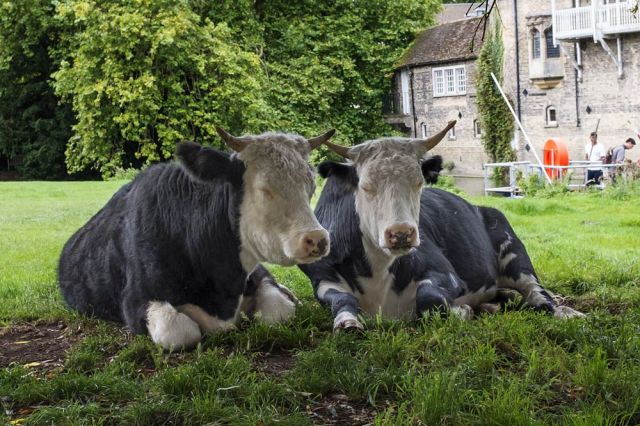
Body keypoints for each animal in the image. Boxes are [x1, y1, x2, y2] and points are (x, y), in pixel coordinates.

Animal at [58, 127, 334, 349]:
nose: (317, 239)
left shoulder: (253, 275)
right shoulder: (136, 300)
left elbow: (280, 311)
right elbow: (179, 331)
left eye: (311, 187)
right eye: (264, 188)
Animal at [300, 121, 583, 332]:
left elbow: (429, 298)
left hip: (514, 250)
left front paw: (462, 310)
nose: (401, 234)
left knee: (537, 293)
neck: (376, 270)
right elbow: (342, 300)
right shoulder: (322, 277)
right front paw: (347, 322)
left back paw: (567, 312)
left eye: (418, 183)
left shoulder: (444, 272)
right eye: (366, 186)